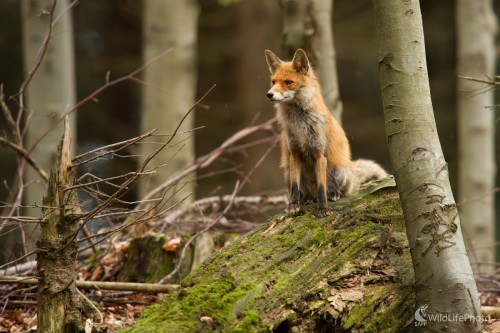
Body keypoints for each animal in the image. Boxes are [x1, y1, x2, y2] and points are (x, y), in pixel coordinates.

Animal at [266, 48, 386, 215]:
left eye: (288, 82)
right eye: (273, 82)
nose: (269, 94)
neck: (300, 123)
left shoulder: (319, 154)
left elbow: (321, 187)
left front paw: (323, 209)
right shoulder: (294, 153)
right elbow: (295, 186)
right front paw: (293, 205)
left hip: (340, 171)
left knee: (335, 190)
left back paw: (333, 195)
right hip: (287, 173)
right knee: (305, 192)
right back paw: (305, 200)